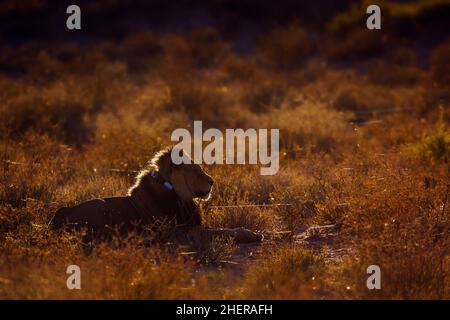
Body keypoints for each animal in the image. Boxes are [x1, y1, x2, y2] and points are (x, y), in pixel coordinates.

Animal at [51, 149, 264, 244]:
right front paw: (252, 234)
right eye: (196, 170)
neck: (176, 193)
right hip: (101, 206)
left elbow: (224, 229)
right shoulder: (184, 233)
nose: (212, 181)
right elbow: (224, 232)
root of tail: (59, 215)